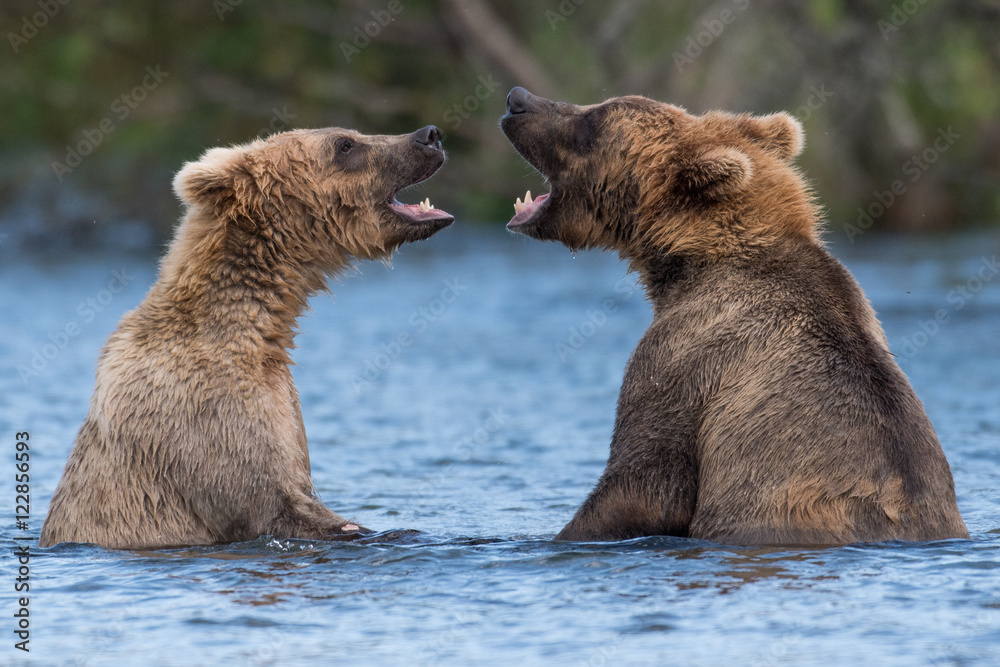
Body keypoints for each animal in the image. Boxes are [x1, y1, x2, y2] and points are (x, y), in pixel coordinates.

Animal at [39, 125, 454, 550]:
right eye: (345, 144)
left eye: (353, 134)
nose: (429, 135)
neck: (260, 329)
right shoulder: (205, 414)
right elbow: (270, 502)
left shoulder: (282, 403)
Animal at [500, 86, 969, 545]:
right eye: (597, 105)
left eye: (594, 119)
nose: (517, 100)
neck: (693, 259)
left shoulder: (687, 357)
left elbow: (644, 483)